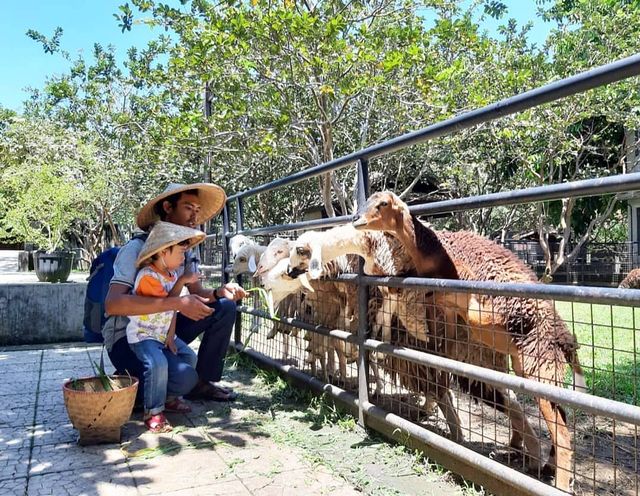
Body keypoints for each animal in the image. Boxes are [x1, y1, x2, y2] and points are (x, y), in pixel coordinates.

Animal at [352, 191, 588, 492]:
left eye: (382, 204)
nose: (356, 219)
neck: (434, 254)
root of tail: (564, 338)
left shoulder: (468, 299)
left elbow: (468, 311)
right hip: (534, 369)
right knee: (561, 416)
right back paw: (546, 466)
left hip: (540, 368)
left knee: (561, 431)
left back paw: (558, 481)